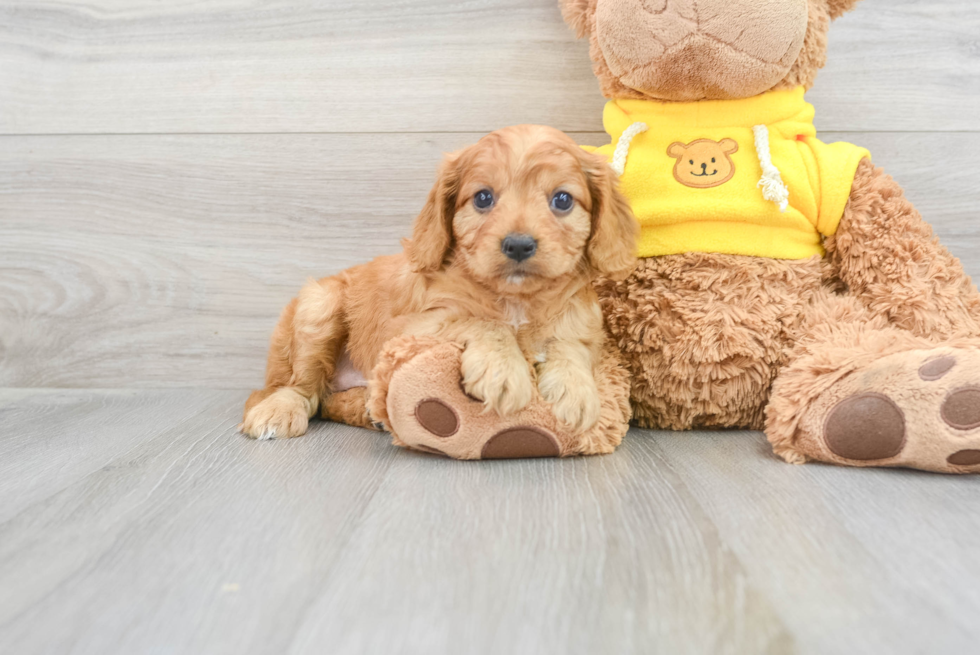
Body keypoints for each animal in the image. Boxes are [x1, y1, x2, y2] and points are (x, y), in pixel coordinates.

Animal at [237, 124, 636, 440]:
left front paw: (576, 389)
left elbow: (569, 344)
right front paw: (502, 370)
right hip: (319, 306)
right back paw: (279, 411)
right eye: (483, 197)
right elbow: (481, 321)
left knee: (331, 400)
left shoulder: (584, 324)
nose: (519, 244)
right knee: (301, 389)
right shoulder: (408, 327)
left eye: (563, 199)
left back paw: (370, 411)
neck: (516, 299)